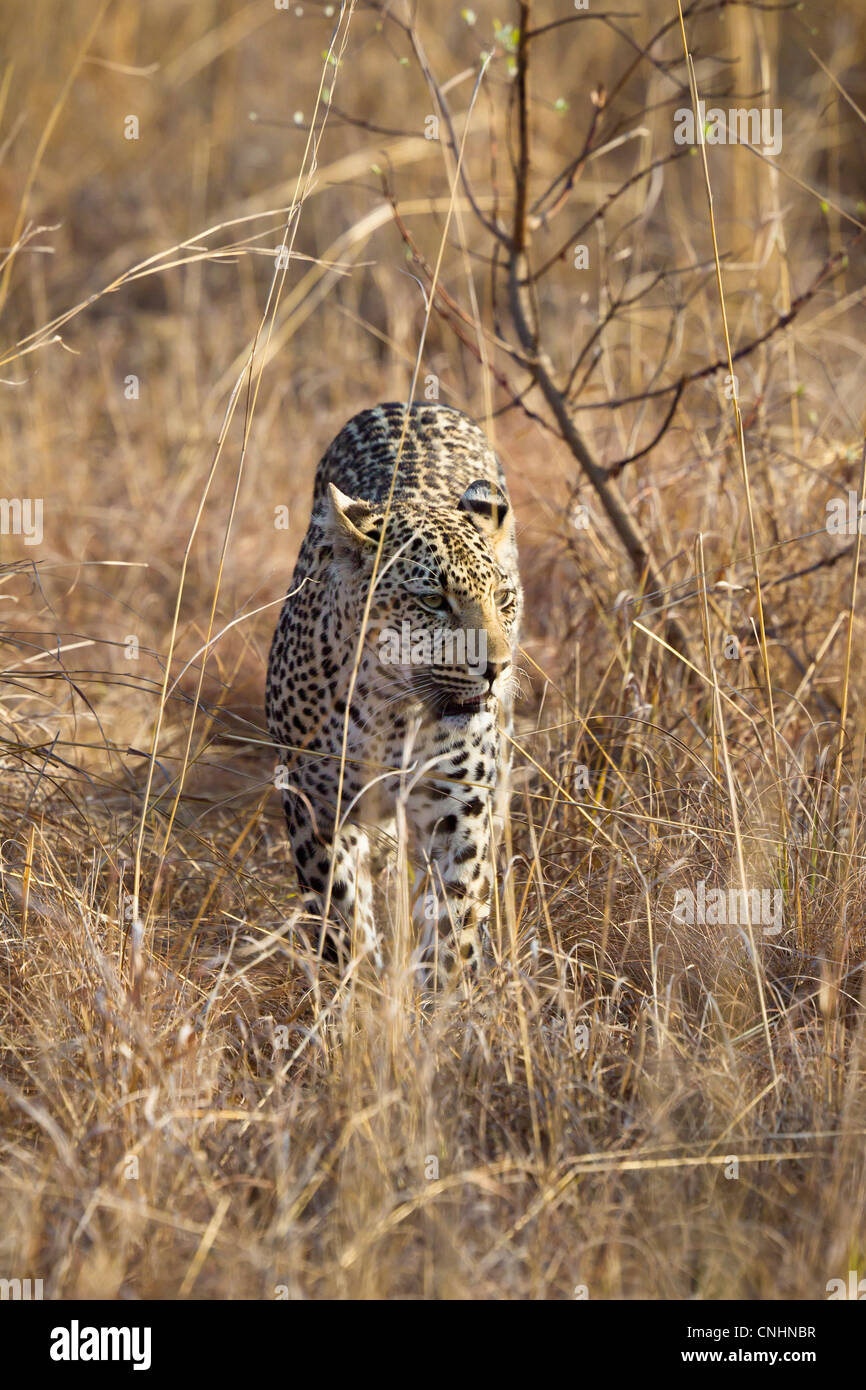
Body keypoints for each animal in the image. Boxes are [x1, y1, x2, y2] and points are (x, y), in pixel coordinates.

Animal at [265, 401, 522, 975]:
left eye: (503, 598)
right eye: (432, 601)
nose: (496, 667)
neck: (390, 710)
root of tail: (415, 402)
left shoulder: (458, 807)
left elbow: (452, 924)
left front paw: (440, 996)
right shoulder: (317, 808)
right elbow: (340, 917)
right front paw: (357, 988)